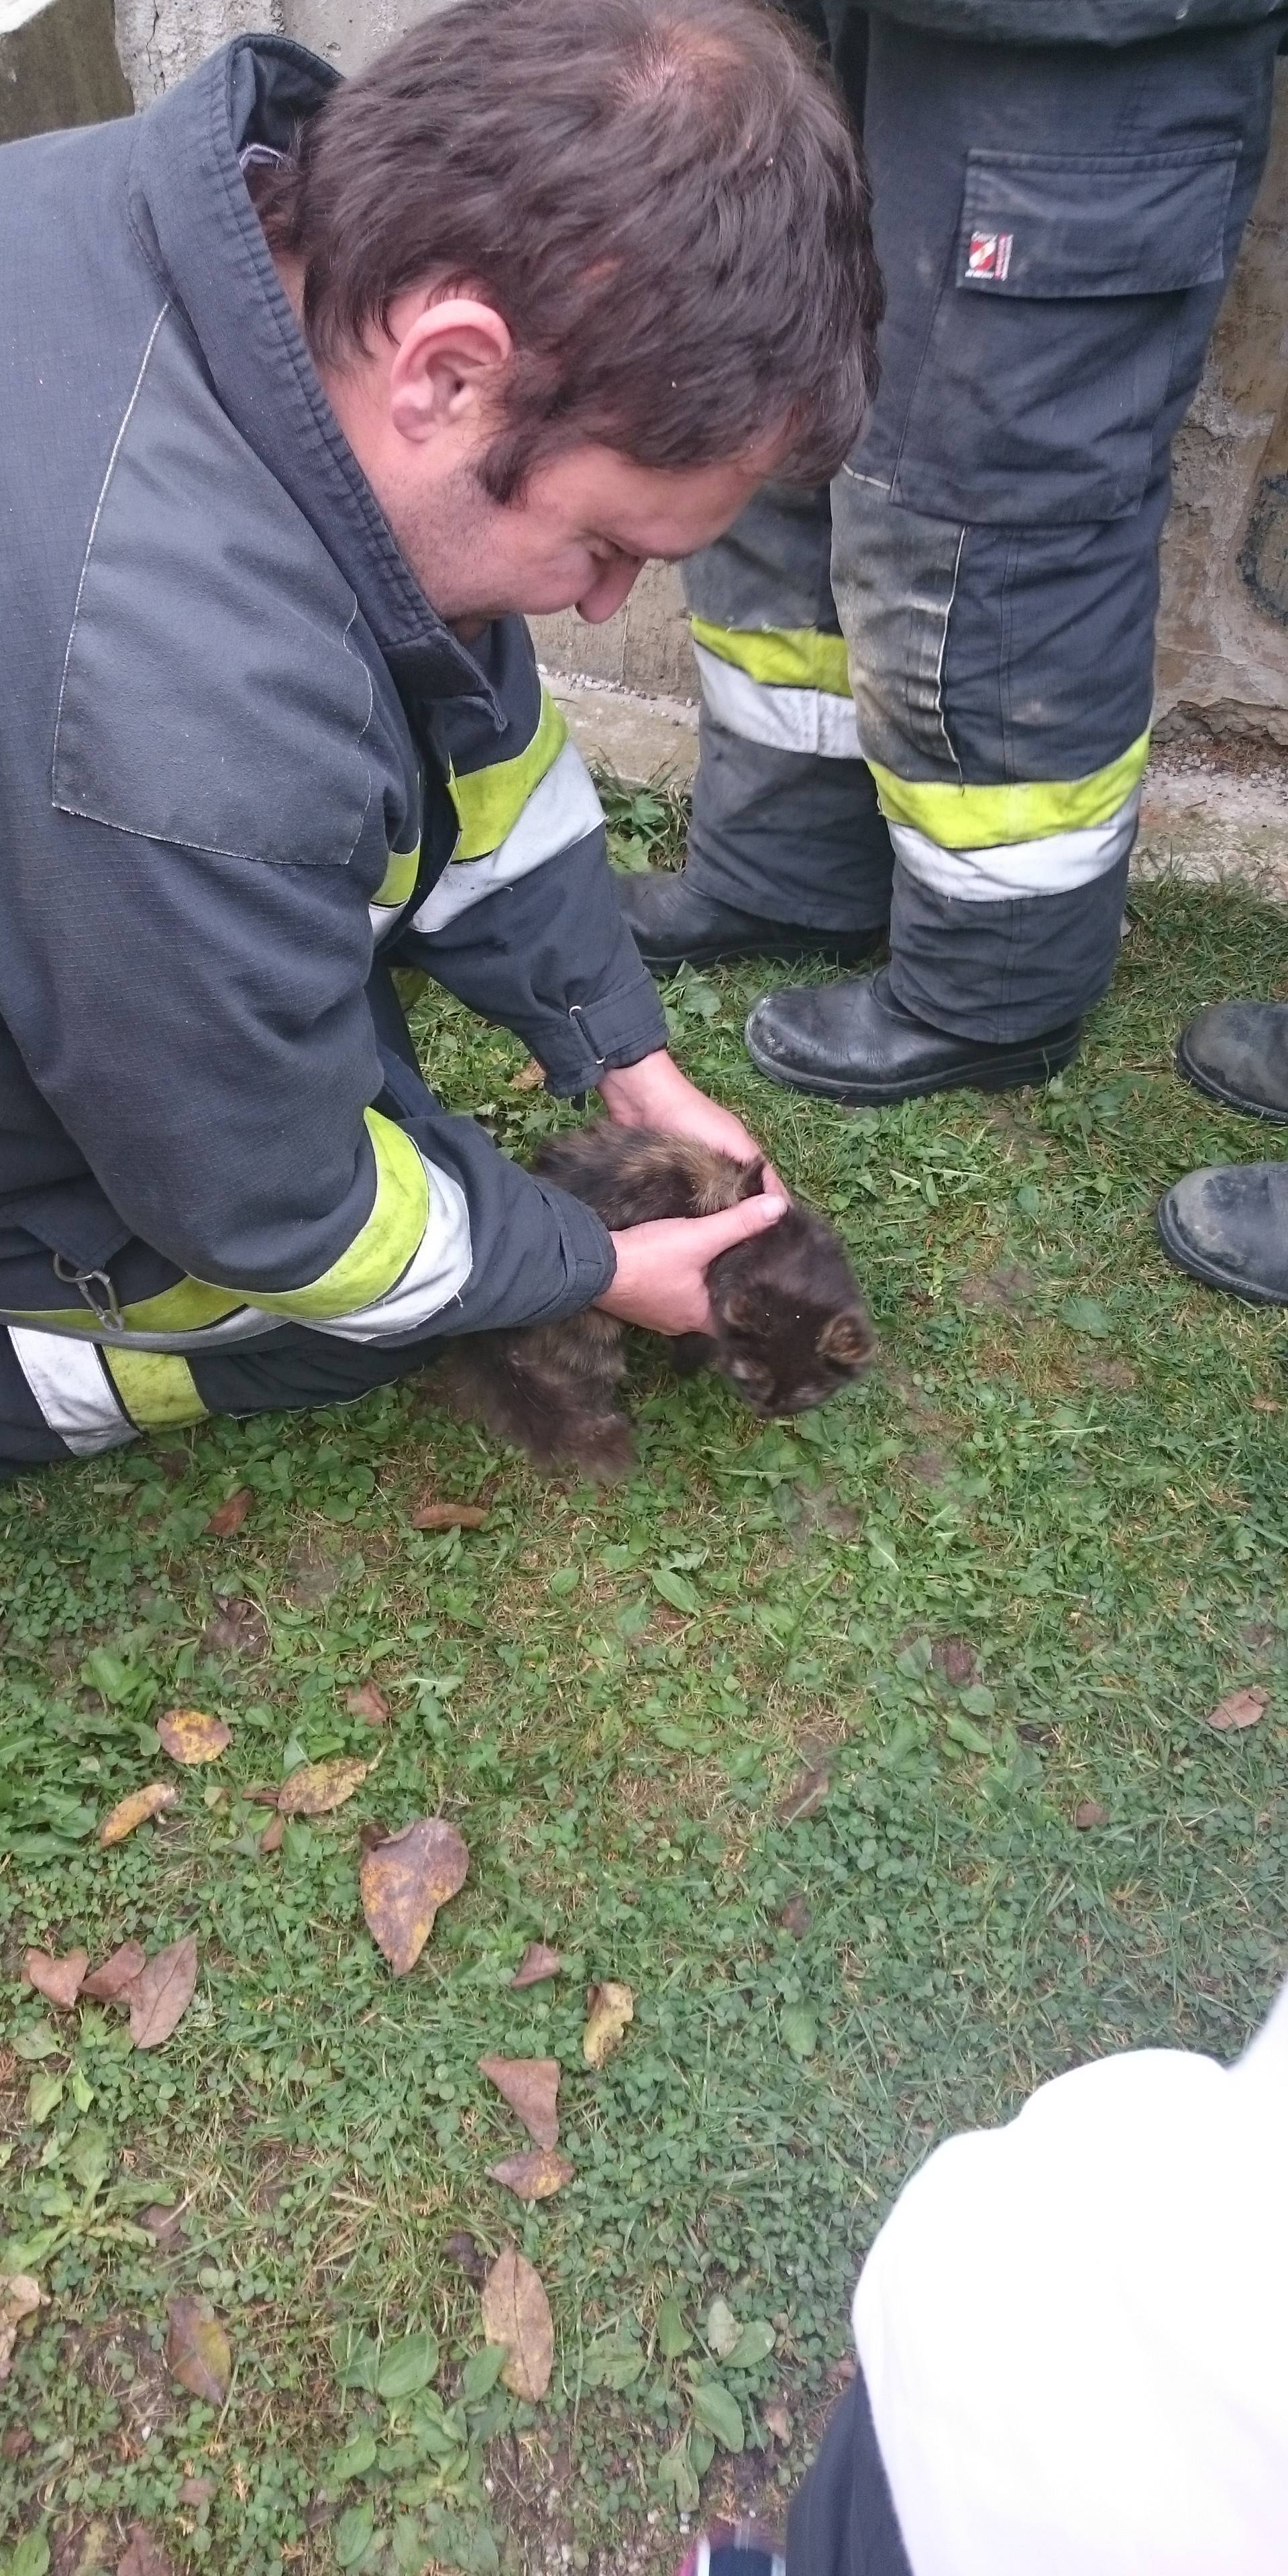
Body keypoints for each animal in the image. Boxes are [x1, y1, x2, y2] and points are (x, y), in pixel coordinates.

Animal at [443, 1133, 875, 1494]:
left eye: (805, 1393)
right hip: (590, 1338)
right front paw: (686, 1369)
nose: (766, 1411)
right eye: (751, 1379)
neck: (781, 1250)